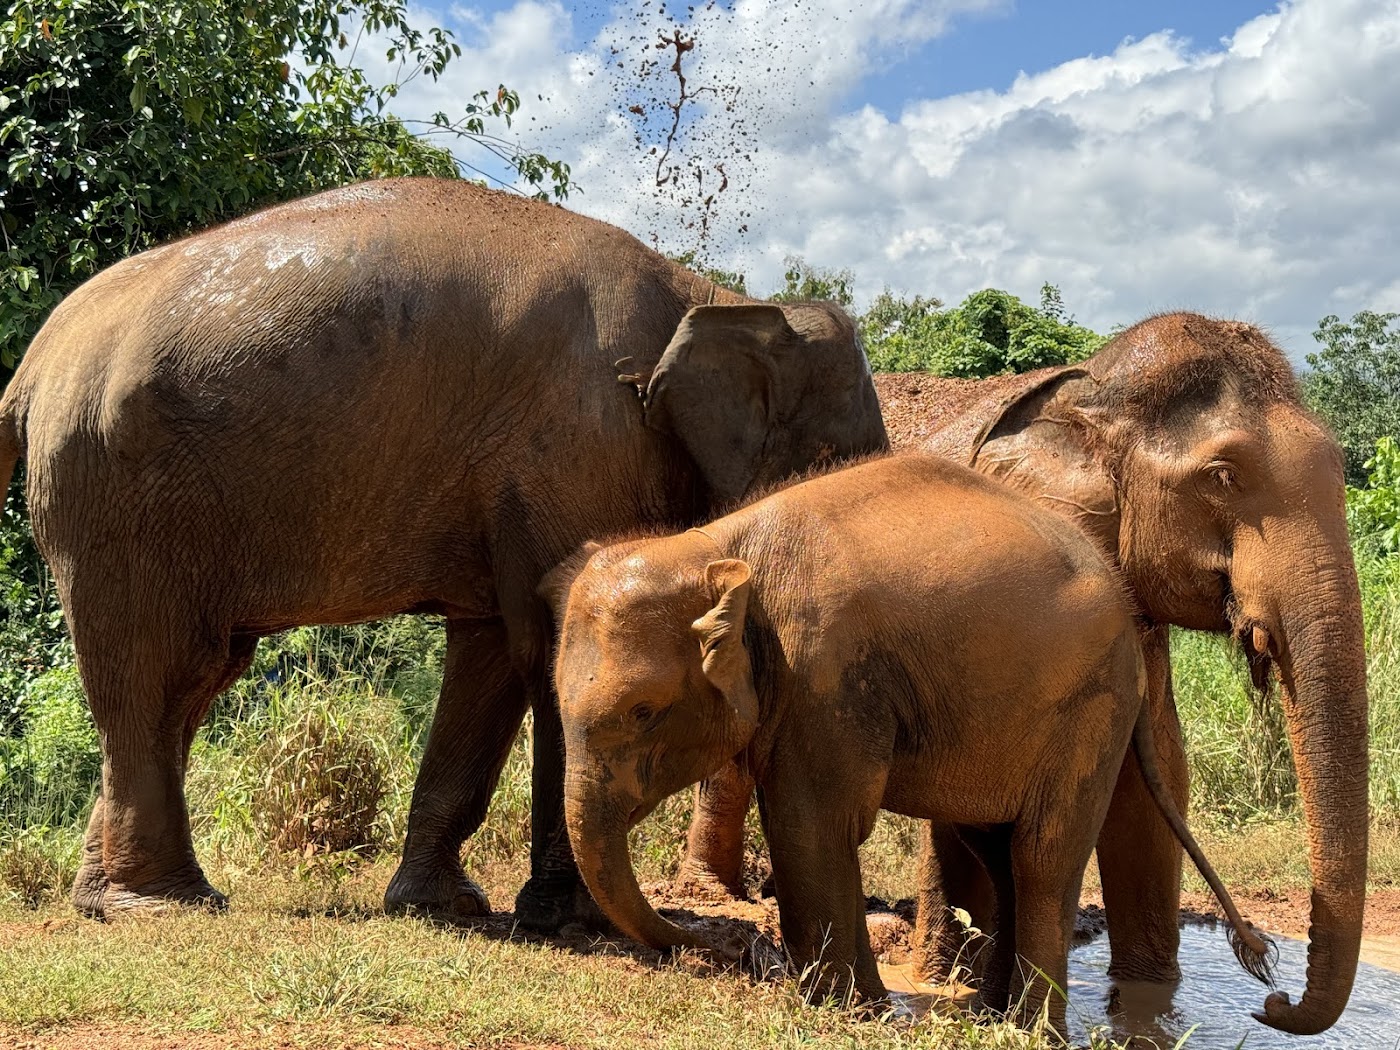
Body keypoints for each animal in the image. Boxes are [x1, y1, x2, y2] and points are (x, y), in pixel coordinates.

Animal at [0, 177, 887, 925]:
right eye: (839, 460)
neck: (714, 295)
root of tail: (30, 367)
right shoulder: (578, 442)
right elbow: (550, 649)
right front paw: (574, 922)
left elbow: (493, 653)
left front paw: (444, 907)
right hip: (116, 491)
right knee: (154, 672)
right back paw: (163, 906)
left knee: (193, 680)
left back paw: (103, 900)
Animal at [543, 453, 1269, 1034]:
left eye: (642, 711)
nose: (713, 949)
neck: (720, 547)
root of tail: (1129, 609)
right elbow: (809, 825)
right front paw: (859, 1007)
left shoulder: (826, 674)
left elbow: (814, 825)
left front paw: (849, 1013)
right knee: (995, 849)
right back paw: (988, 1015)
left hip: (1092, 708)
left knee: (1042, 856)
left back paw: (1031, 1029)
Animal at [679, 313, 1368, 1035]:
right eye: (1223, 475)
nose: (1270, 997)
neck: (1089, 396)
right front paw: (952, 986)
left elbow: (1152, 769)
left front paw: (1149, 1010)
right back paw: (721, 896)